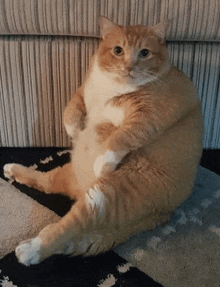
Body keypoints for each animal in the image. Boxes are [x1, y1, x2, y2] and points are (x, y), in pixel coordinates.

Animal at [3, 16, 203, 266]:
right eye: (118, 50)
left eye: (144, 53)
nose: (129, 66)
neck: (113, 86)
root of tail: (162, 214)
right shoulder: (84, 91)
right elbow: (70, 109)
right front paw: (75, 130)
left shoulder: (151, 114)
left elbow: (123, 135)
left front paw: (103, 161)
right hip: (72, 173)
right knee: (46, 182)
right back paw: (13, 170)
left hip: (103, 196)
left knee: (68, 227)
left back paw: (33, 249)